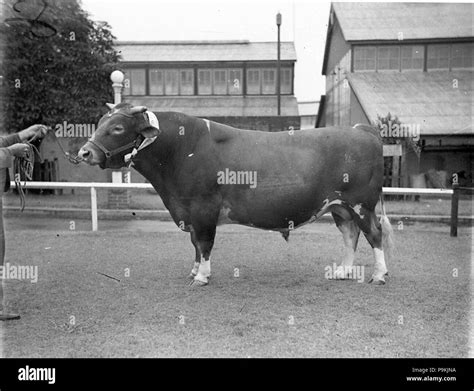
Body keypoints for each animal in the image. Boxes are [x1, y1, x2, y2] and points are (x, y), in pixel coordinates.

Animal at [79, 103, 394, 288]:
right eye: (100, 122)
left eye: (117, 128)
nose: (84, 152)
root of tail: (360, 128)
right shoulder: (188, 210)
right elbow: (195, 243)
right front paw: (194, 271)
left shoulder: (203, 207)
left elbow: (204, 242)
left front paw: (202, 277)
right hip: (340, 206)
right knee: (350, 235)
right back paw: (343, 271)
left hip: (361, 203)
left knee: (374, 234)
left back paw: (379, 275)